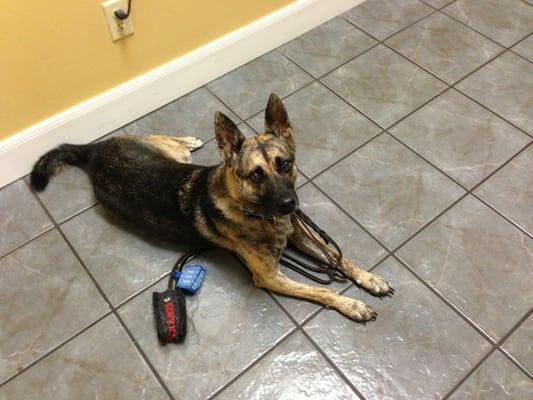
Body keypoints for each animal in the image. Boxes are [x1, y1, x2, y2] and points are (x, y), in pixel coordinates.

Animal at [31, 94, 392, 322]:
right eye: (256, 175)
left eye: (285, 164)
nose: (291, 205)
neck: (257, 213)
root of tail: (94, 154)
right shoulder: (270, 276)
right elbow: (319, 290)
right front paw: (350, 304)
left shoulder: (299, 233)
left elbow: (340, 259)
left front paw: (369, 278)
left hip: (166, 154)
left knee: (165, 141)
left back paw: (186, 140)